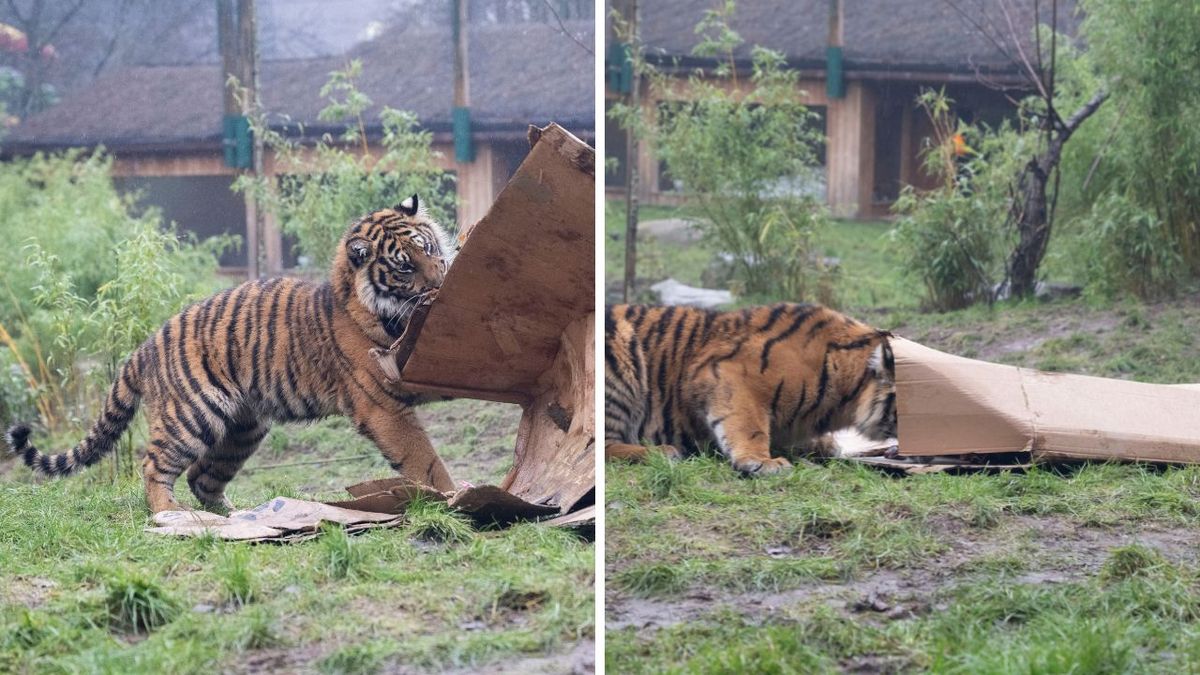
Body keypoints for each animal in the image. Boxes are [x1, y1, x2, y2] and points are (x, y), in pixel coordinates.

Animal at [6, 194, 458, 513]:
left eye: (428, 247)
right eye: (404, 266)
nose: (442, 283)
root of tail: (145, 346)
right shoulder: (383, 404)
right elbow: (425, 461)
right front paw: (453, 500)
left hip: (244, 428)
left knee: (202, 477)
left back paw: (237, 516)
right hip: (191, 416)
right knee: (155, 466)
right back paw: (171, 514)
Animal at [604, 303, 896, 474]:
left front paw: (824, 444)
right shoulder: (723, 372)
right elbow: (749, 424)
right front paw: (762, 461)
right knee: (606, 445)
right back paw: (663, 452)